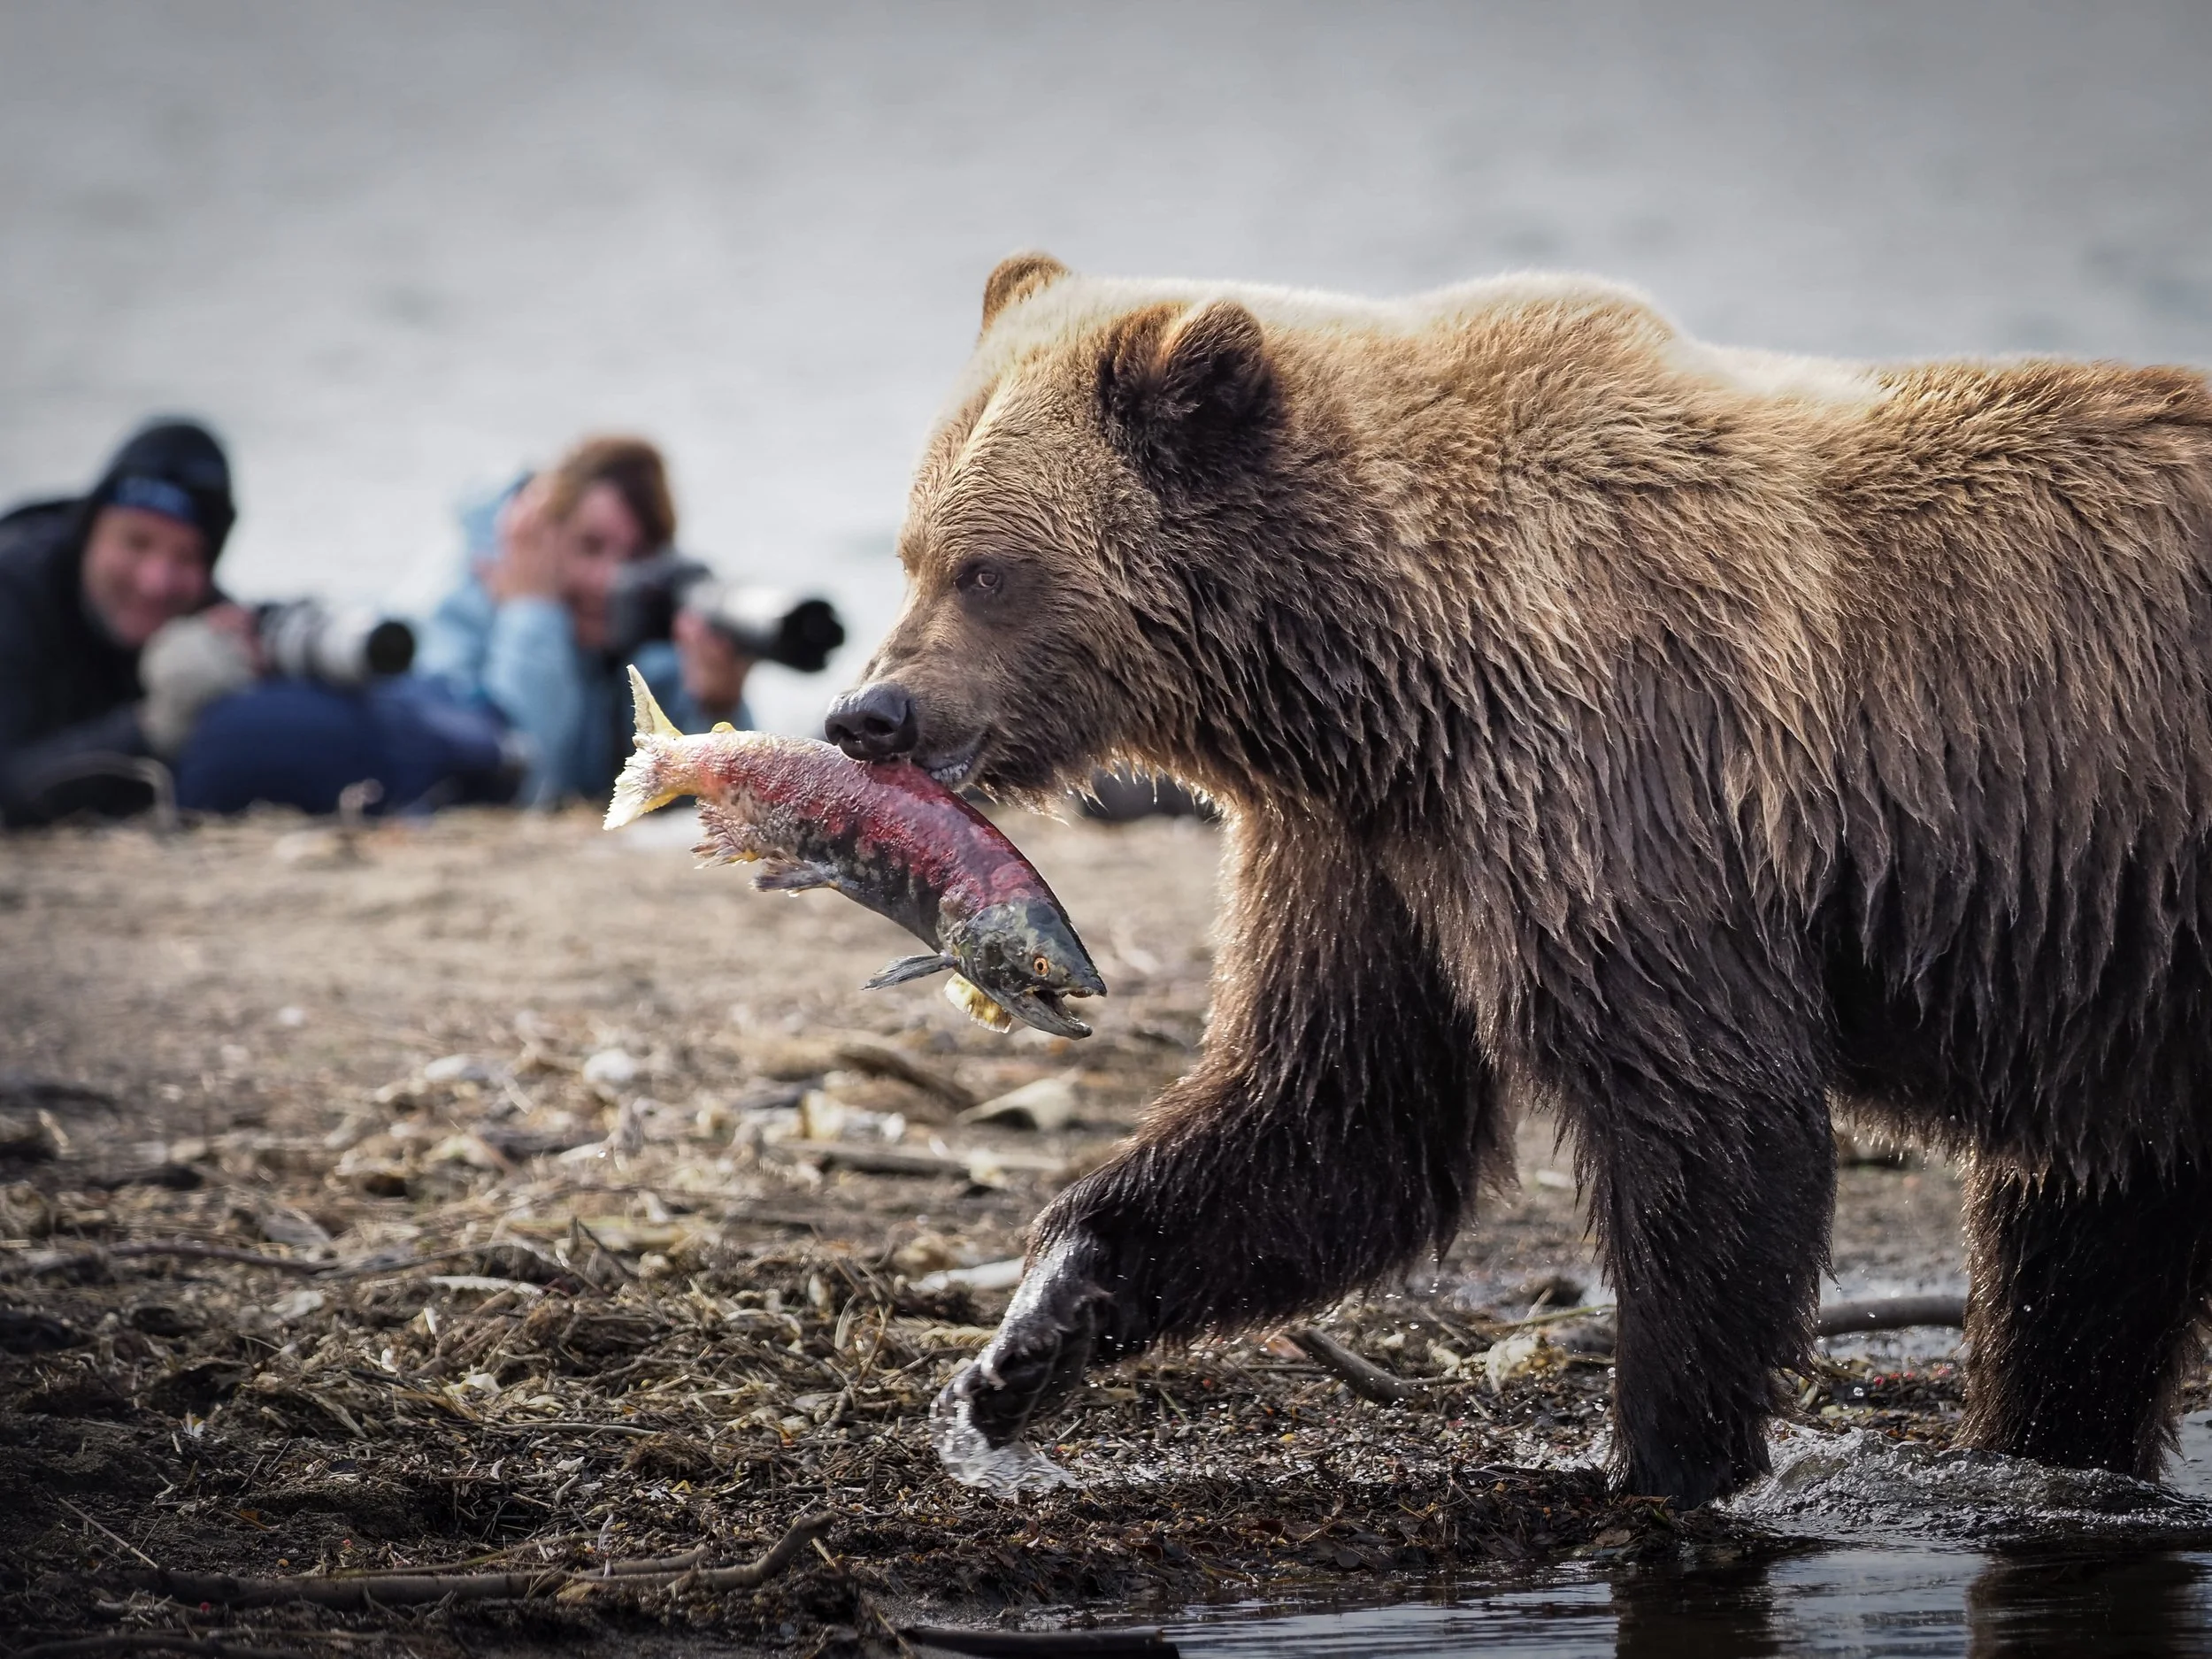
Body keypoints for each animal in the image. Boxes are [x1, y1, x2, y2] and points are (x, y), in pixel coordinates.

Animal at [824, 251, 2212, 1508]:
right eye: (912, 551)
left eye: (987, 570)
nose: (867, 712)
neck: (1382, 669)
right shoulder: (1368, 844)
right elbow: (1342, 1105)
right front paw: (1027, 1336)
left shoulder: (1620, 777)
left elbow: (1707, 1107)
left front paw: (1666, 1457)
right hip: (2119, 981)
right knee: (2084, 1241)